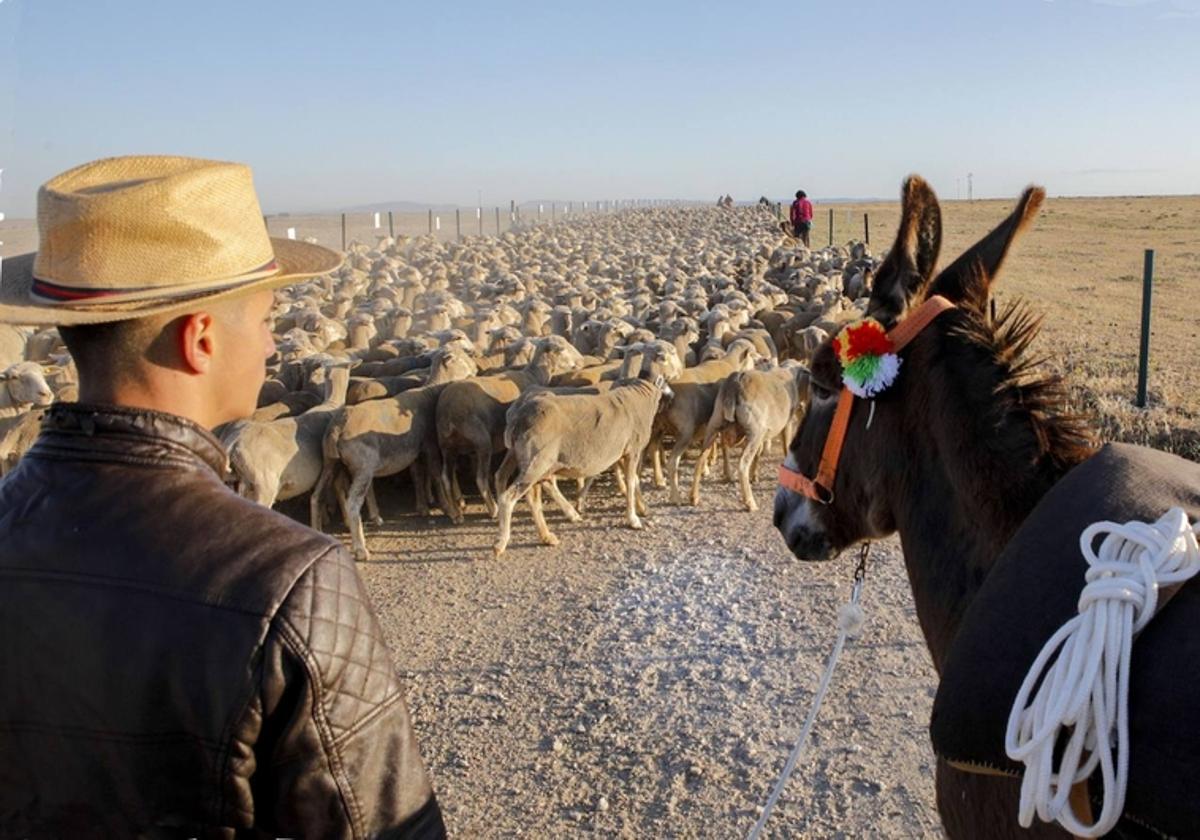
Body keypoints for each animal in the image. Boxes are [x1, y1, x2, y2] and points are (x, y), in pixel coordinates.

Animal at [492, 376, 672, 554]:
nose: (672, 397)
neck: (641, 396)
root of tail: (518, 415)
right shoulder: (632, 450)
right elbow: (631, 482)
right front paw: (633, 519)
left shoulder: (620, 453)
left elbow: (633, 480)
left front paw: (643, 508)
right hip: (537, 460)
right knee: (510, 497)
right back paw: (501, 543)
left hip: (525, 457)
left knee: (520, 488)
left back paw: (548, 535)